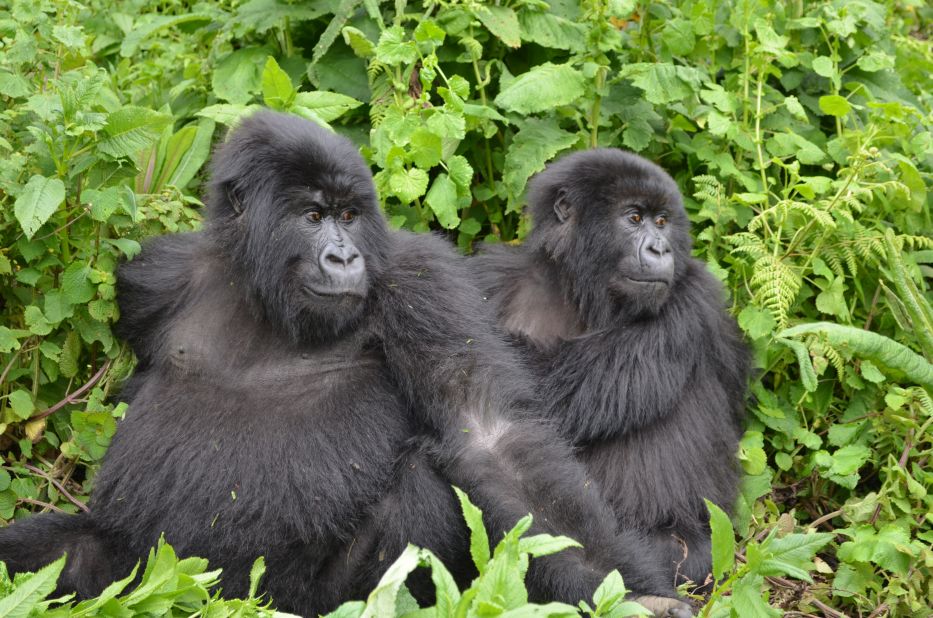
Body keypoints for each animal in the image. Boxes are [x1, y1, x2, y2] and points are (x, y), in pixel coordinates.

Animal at [0, 113, 692, 612]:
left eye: (350, 216)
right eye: (313, 216)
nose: (343, 258)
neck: (263, 292)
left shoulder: (422, 280)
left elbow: (490, 433)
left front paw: (633, 594)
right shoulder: (153, 275)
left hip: (292, 601)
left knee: (419, 485)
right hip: (142, 572)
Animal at [474, 149, 748, 588]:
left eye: (662, 221)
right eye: (633, 218)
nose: (661, 250)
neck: (578, 290)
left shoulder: (693, 295)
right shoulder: (490, 278)